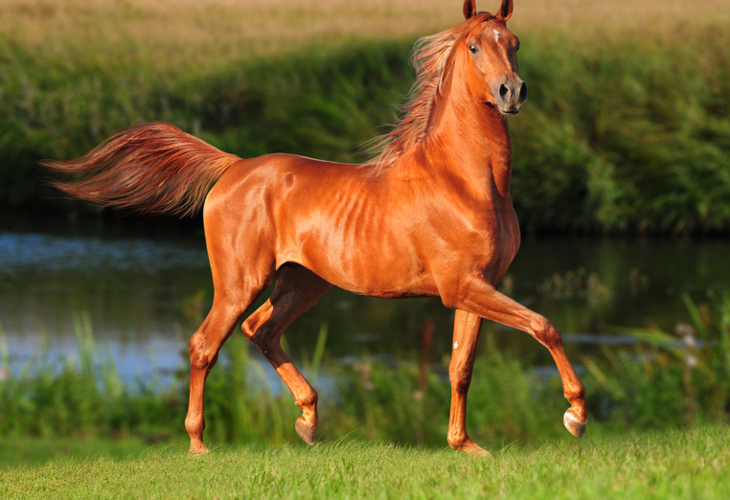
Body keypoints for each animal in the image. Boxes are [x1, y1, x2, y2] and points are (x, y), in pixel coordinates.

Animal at [42, 0, 586, 456]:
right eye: (475, 46)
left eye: (514, 43)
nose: (512, 92)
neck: (464, 181)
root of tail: (233, 167)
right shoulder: (461, 287)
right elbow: (545, 325)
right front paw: (575, 415)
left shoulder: (475, 286)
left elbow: (461, 368)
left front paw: (465, 446)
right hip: (241, 281)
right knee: (205, 344)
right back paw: (199, 444)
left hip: (302, 282)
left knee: (260, 330)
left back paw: (307, 420)